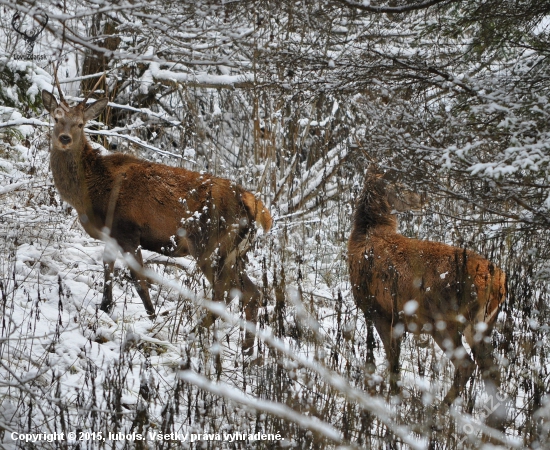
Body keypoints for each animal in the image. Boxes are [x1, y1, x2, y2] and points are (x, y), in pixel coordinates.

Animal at [42, 74, 274, 352]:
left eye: (80, 123)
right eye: (56, 117)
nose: (64, 138)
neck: (88, 194)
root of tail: (253, 205)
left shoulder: (128, 230)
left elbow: (139, 280)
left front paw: (151, 319)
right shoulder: (110, 234)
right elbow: (108, 269)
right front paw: (105, 307)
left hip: (208, 243)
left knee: (224, 292)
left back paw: (193, 333)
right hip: (234, 252)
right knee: (252, 293)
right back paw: (247, 349)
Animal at [350, 166, 508, 426]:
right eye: (400, 185)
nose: (423, 197)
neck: (364, 239)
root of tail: (499, 281)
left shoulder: (377, 309)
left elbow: (389, 360)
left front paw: (391, 401)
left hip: (444, 319)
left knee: (466, 365)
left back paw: (437, 414)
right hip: (484, 323)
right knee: (491, 369)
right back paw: (493, 422)